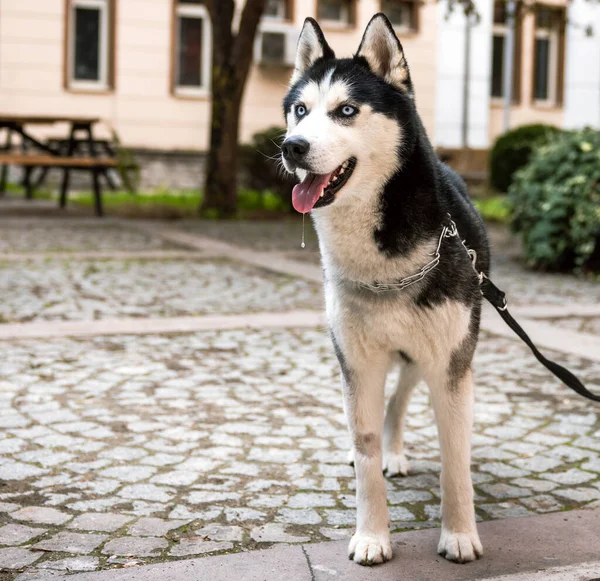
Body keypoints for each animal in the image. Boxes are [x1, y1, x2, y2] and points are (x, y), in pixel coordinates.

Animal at [284, 13, 490, 568]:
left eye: (346, 111)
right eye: (300, 110)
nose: (292, 146)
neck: (386, 265)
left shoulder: (450, 363)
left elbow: (455, 460)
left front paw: (459, 535)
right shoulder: (357, 361)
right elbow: (365, 446)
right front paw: (372, 537)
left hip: (427, 354)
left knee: (400, 401)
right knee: (385, 412)